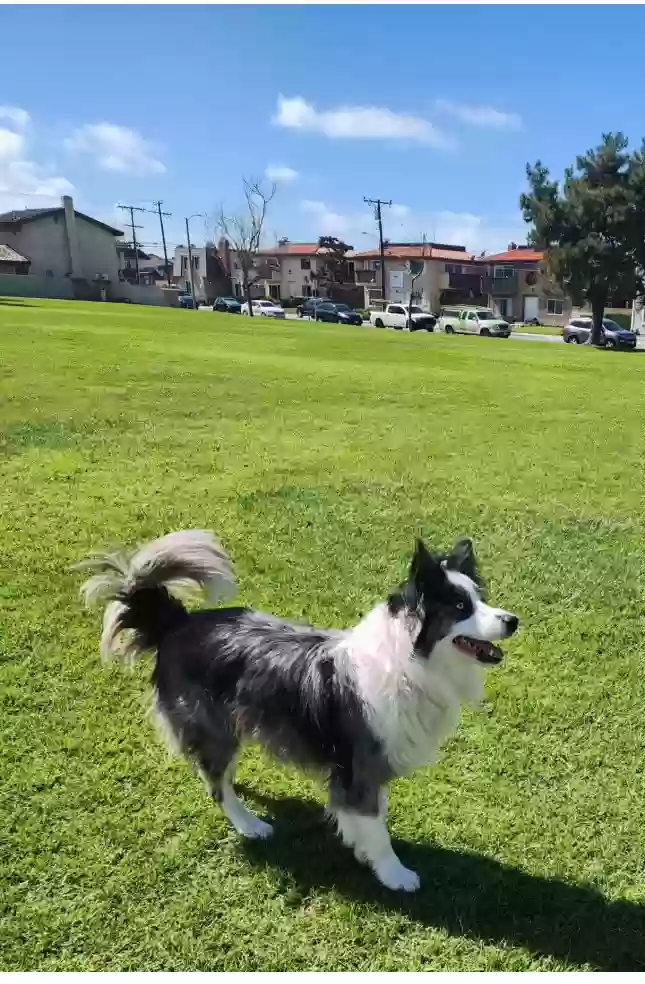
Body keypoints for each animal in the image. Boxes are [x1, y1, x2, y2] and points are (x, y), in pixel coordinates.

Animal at [80, 532, 520, 892]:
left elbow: (369, 816)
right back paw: (250, 824)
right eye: (461, 606)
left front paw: (362, 848)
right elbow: (375, 825)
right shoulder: (359, 766)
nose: (513, 621)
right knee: (216, 784)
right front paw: (394, 873)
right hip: (215, 727)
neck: (411, 661)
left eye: (481, 597)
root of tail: (177, 623)